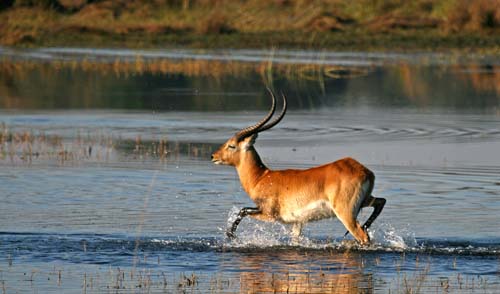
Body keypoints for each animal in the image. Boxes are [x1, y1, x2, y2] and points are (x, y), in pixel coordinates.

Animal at [212, 91, 386, 243]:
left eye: (232, 145)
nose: (213, 156)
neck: (261, 177)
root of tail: (364, 171)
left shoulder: (268, 214)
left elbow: (242, 210)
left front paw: (231, 236)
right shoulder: (297, 222)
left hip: (346, 213)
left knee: (363, 236)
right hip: (364, 201)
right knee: (381, 202)